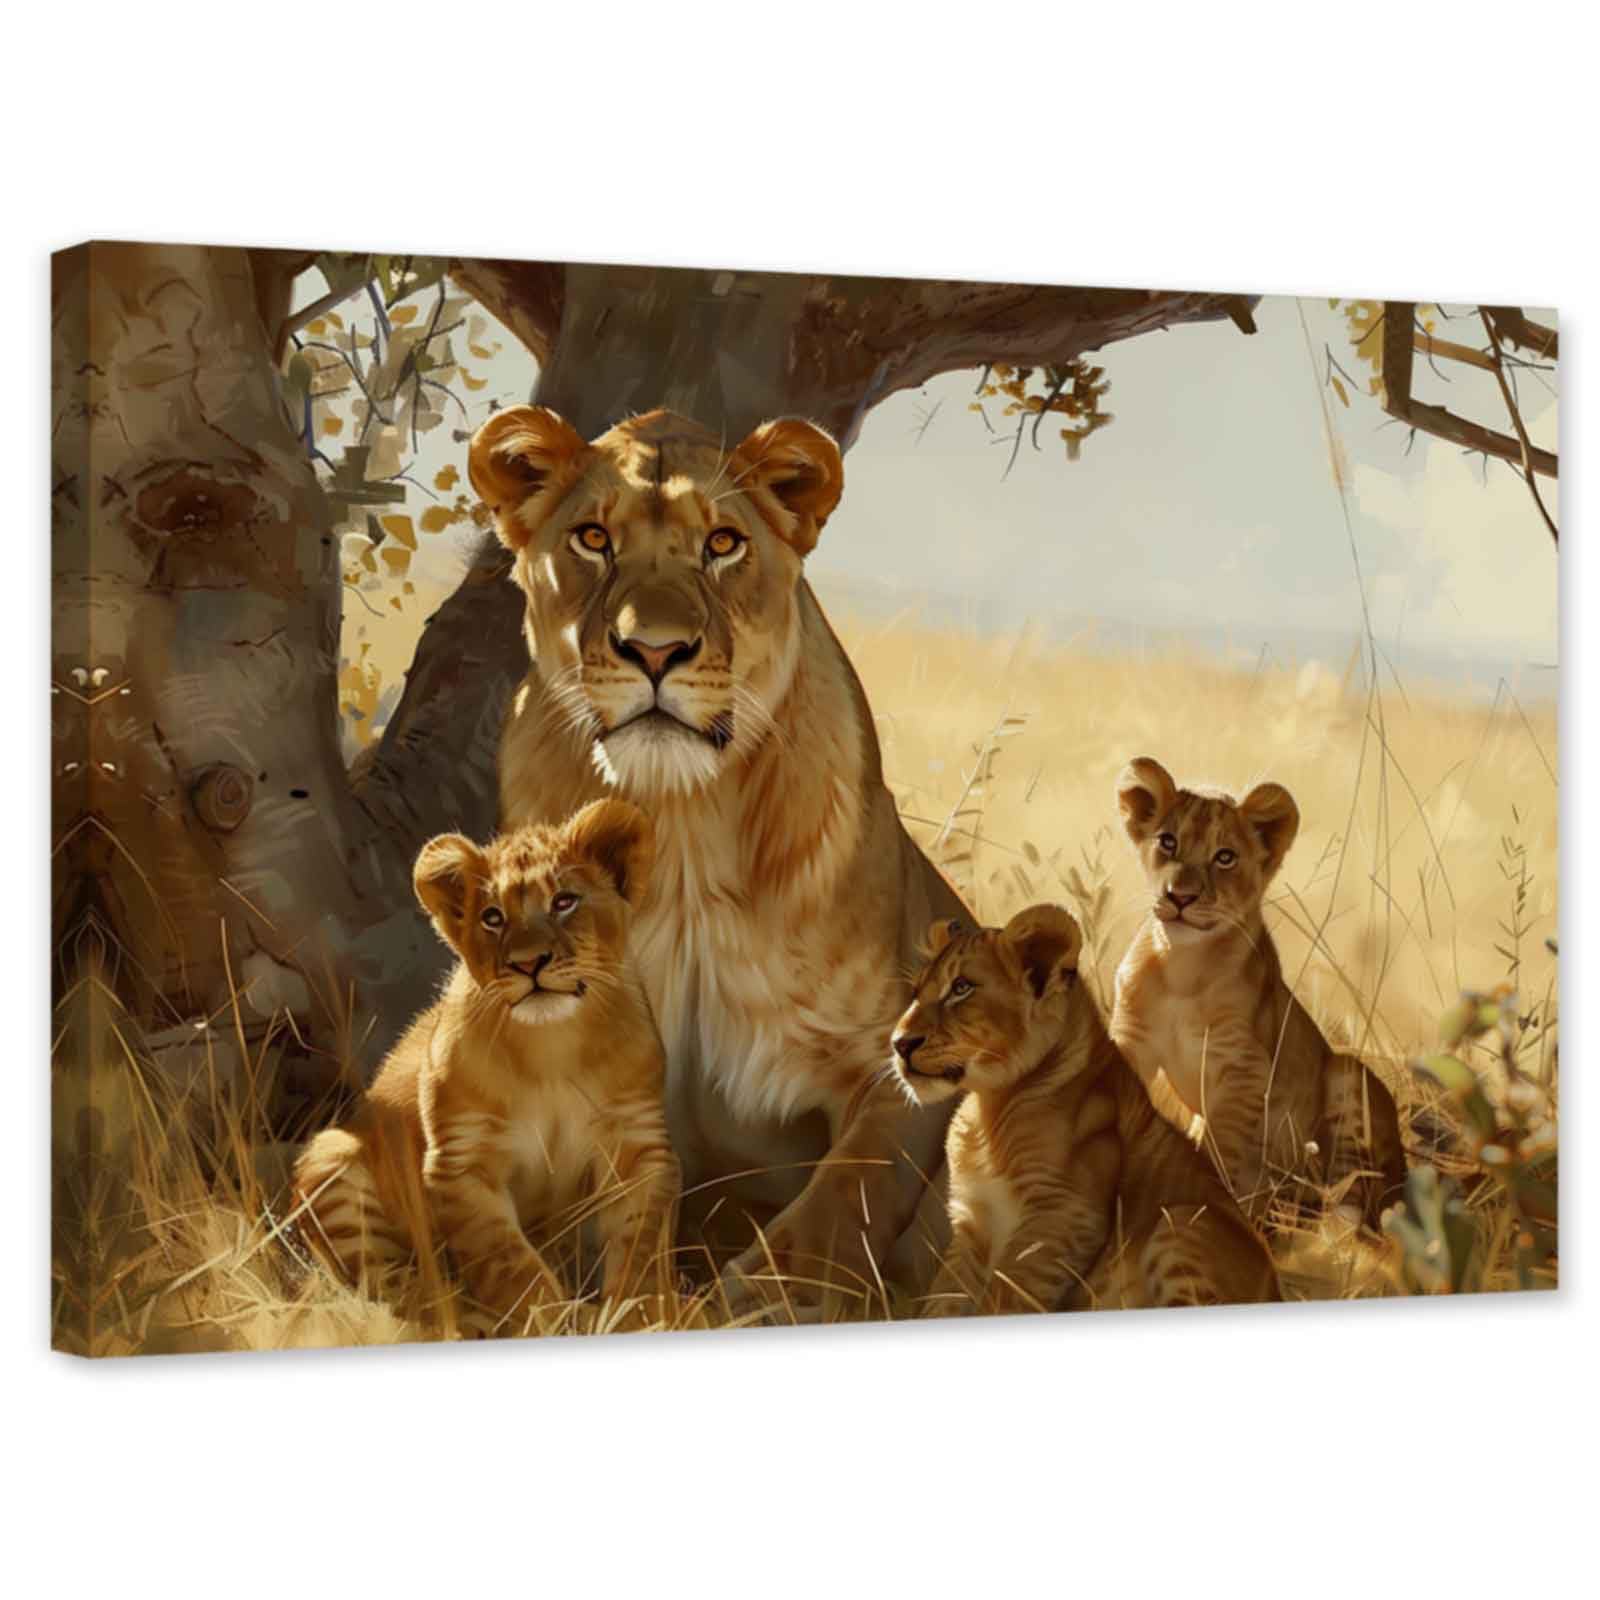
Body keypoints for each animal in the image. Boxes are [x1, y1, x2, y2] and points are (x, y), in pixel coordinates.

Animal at [292, 800, 679, 1331]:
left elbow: (641, 1249)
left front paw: (638, 1319)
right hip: (331, 1159)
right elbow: (511, 1266)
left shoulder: (636, 1144)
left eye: (564, 902)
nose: (527, 963)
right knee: (396, 1293)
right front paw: (547, 1323)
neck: (552, 1047)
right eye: (492, 917)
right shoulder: (461, 1162)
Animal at [467, 404, 966, 1308]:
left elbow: (835, 1211)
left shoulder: (902, 1069)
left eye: (723, 544)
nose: (657, 651)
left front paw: (751, 1305)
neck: (683, 828)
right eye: (593, 538)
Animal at [888, 905, 1278, 1314]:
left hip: (1179, 1224)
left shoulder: (1068, 1212)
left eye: (961, 988)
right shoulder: (972, 1221)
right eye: (916, 992)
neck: (989, 1104)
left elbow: (1008, 1295)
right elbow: (946, 1297)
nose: (900, 1044)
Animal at [1109, 756, 1407, 1233]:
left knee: (1351, 1196)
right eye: (1168, 842)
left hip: (1347, 1077)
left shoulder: (1243, 1068)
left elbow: (1222, 1151)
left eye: (1225, 857)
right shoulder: (1131, 1039)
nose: (1179, 897)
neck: (1181, 966)